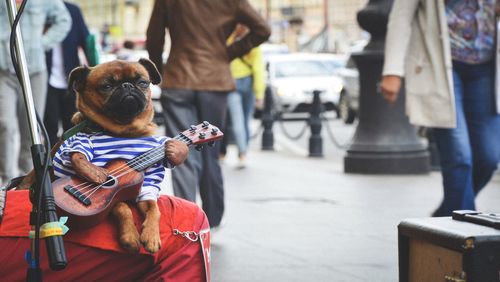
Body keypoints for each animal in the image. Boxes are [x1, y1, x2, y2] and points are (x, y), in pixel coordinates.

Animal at [20, 59, 188, 253]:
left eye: (142, 82)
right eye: (106, 86)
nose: (127, 85)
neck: (125, 132)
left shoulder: (147, 184)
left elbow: (154, 208)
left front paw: (151, 235)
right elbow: (121, 206)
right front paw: (130, 236)